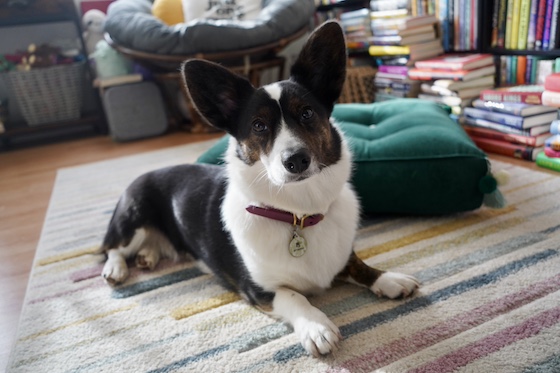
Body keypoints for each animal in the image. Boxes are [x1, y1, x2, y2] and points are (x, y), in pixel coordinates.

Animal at [100, 21, 418, 356]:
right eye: (258, 125)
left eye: (307, 113)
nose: (296, 160)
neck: (298, 212)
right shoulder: (259, 290)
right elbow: (294, 296)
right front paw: (317, 326)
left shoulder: (342, 257)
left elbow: (358, 264)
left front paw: (389, 279)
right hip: (132, 218)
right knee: (112, 248)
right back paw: (116, 269)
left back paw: (147, 257)